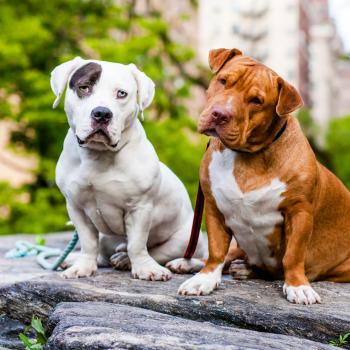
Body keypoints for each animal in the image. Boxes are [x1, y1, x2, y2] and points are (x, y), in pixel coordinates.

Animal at [50, 58, 206, 282]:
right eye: (84, 87)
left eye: (121, 93)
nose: (102, 113)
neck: (98, 156)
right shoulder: (77, 208)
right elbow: (89, 243)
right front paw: (83, 267)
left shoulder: (139, 208)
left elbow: (137, 244)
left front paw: (145, 269)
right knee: (103, 252)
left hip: (187, 238)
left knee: (170, 253)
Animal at [178, 48, 350, 304]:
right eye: (223, 81)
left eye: (256, 101)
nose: (219, 114)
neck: (246, 155)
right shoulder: (214, 207)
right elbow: (216, 250)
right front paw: (204, 279)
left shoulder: (299, 212)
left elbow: (294, 254)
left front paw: (298, 286)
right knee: (230, 254)